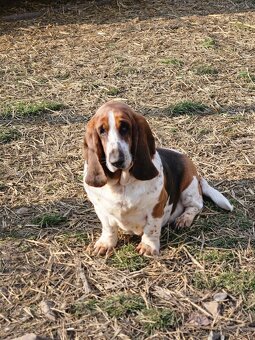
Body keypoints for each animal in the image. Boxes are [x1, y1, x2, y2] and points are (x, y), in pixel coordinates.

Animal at [82, 101, 233, 255]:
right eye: (102, 130)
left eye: (125, 127)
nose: (116, 161)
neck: (122, 184)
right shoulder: (101, 209)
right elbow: (108, 228)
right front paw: (105, 244)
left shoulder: (156, 207)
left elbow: (151, 228)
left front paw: (148, 246)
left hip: (188, 188)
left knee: (196, 206)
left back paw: (183, 219)